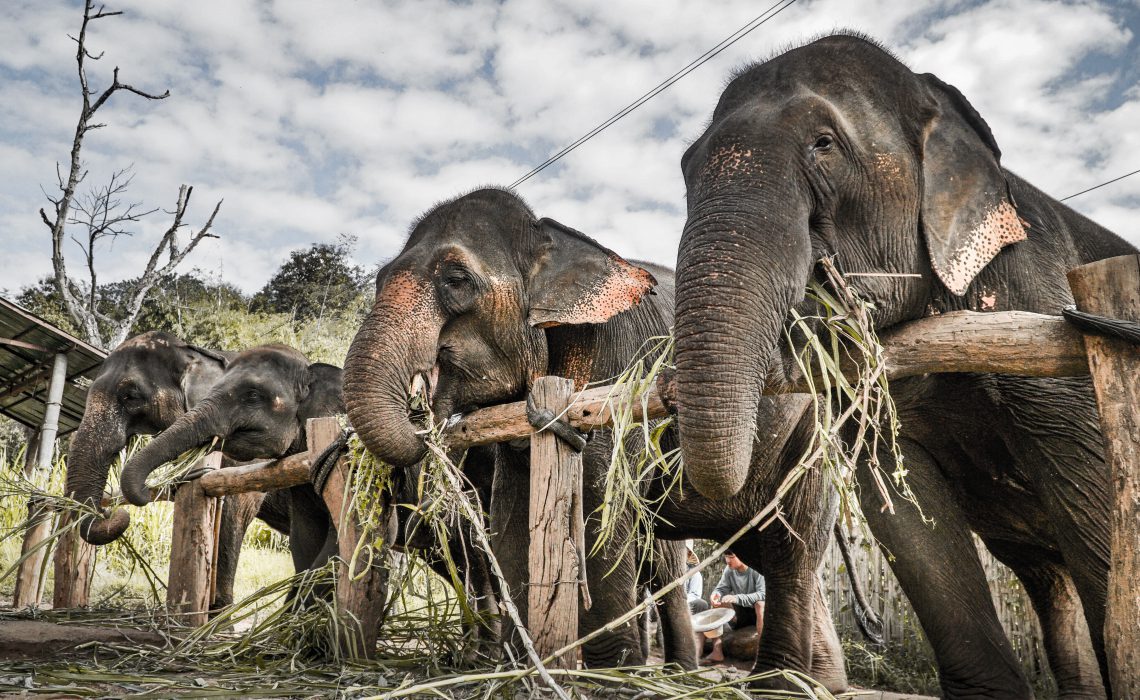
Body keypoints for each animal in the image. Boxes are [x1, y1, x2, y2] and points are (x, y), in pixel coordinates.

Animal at [671, 33, 1132, 698]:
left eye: (824, 144)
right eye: (686, 167)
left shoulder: (1042, 305)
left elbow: (1087, 483)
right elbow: (906, 512)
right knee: (1049, 584)